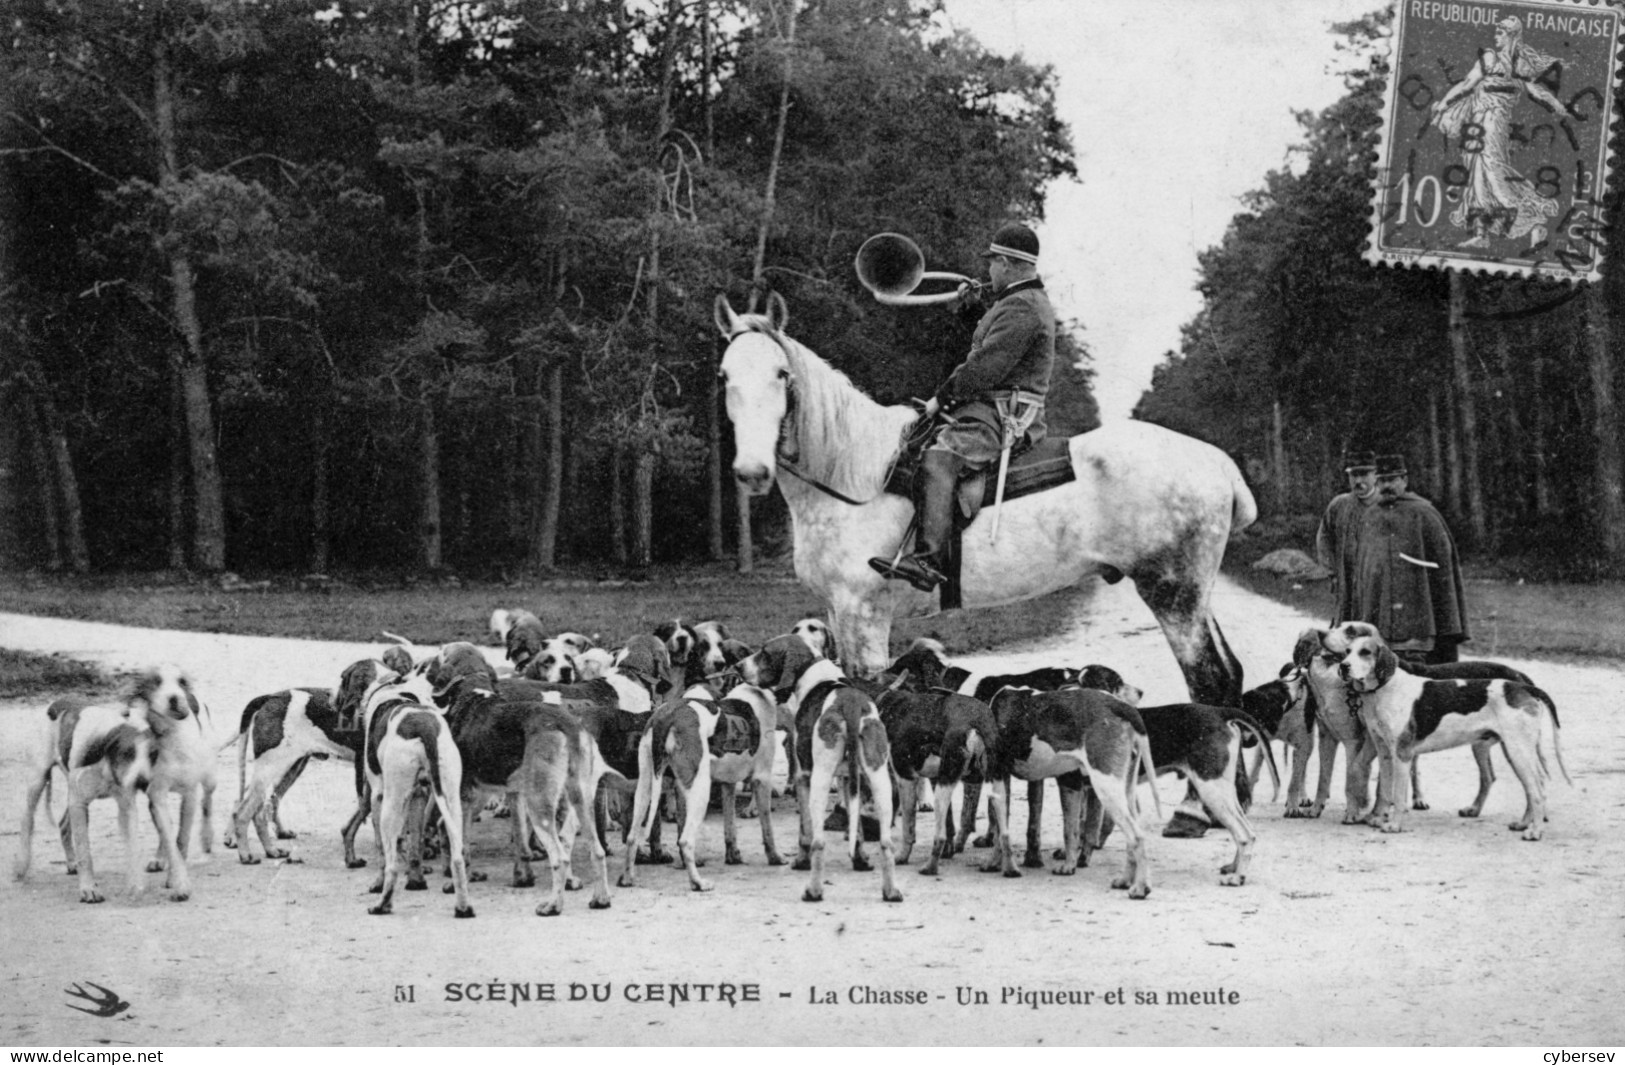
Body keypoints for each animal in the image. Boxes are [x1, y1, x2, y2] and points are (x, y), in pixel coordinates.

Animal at [718, 294, 1261, 708]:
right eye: (724, 376)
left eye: (781, 374)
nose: (751, 472)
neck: (856, 475)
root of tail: (1216, 461)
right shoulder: (838, 611)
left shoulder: (864, 612)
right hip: (1194, 593)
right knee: (1229, 673)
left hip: (1173, 594)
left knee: (1209, 679)